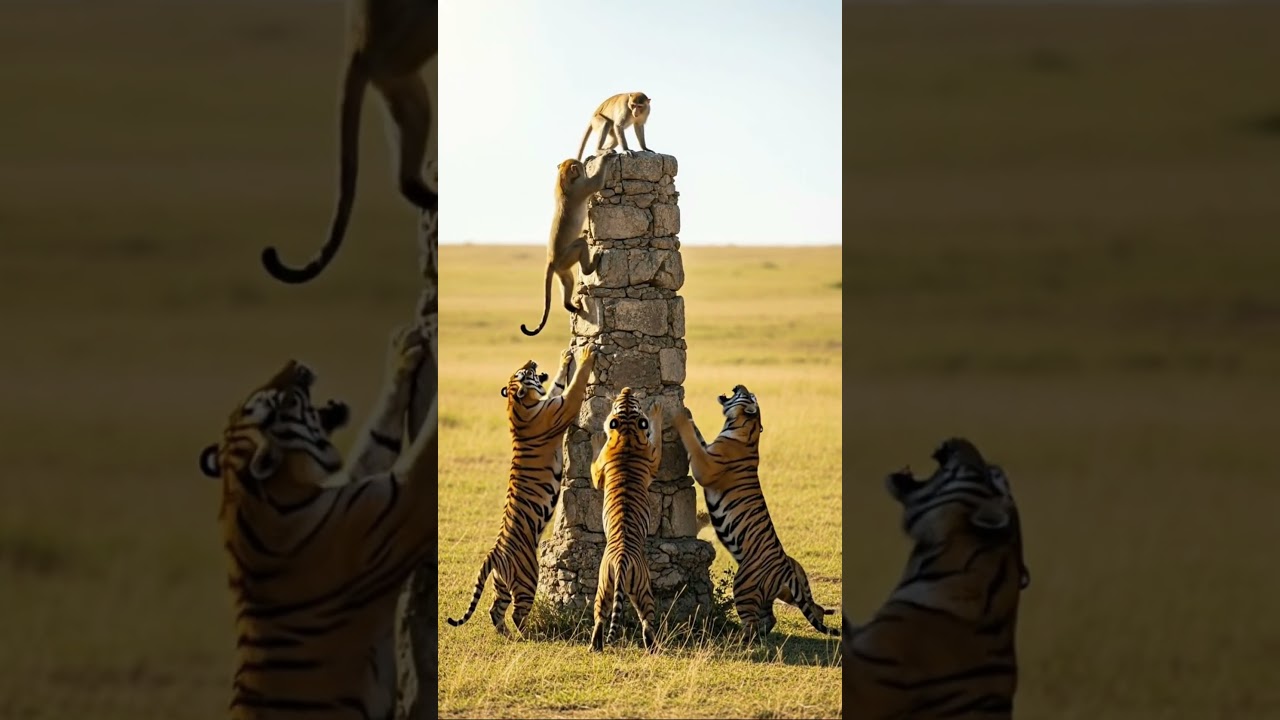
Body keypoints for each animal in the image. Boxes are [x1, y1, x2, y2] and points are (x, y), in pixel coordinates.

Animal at [197, 325, 437, 720]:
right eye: (279, 400)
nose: (295, 362)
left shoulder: (354, 486)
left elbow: (376, 437)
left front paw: (401, 348)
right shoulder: (399, 501)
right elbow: (427, 448)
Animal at [445, 344, 597, 635]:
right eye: (523, 372)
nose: (531, 360)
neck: (516, 405)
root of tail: (494, 553)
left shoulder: (552, 398)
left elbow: (558, 382)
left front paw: (565, 357)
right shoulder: (563, 407)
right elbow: (576, 383)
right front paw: (585, 355)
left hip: (501, 584)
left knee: (495, 610)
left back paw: (505, 634)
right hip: (528, 578)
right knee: (517, 613)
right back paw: (527, 635)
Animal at [520, 155, 618, 337]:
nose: (582, 164)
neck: (562, 180)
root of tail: (551, 260)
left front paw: (589, 157)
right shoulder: (582, 187)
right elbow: (597, 182)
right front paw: (605, 156)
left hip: (563, 269)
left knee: (567, 283)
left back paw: (570, 306)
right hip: (569, 253)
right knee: (581, 245)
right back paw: (592, 263)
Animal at [588, 387, 664, 653]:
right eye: (626, 401)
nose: (627, 389)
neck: (628, 433)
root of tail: (621, 561)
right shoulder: (654, 457)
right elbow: (657, 432)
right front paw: (657, 410)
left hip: (602, 588)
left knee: (599, 619)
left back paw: (594, 647)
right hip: (645, 591)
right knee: (647, 624)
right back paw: (655, 649)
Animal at [669, 384, 840, 640]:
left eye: (748, 395)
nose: (738, 386)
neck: (743, 426)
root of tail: (786, 571)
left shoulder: (705, 466)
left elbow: (691, 439)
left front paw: (680, 415)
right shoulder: (707, 451)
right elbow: (697, 436)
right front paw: (688, 413)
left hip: (743, 583)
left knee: (752, 623)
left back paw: (736, 639)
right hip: (788, 589)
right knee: (798, 611)